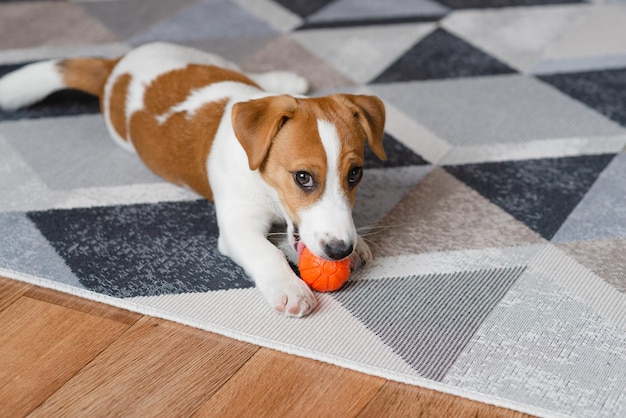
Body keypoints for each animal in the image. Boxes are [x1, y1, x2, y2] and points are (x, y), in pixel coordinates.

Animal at [0, 42, 386, 316]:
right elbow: (266, 253)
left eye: (355, 174)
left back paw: (283, 81)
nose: (340, 250)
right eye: (302, 177)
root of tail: (116, 67)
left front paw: (357, 245)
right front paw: (289, 288)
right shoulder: (237, 227)